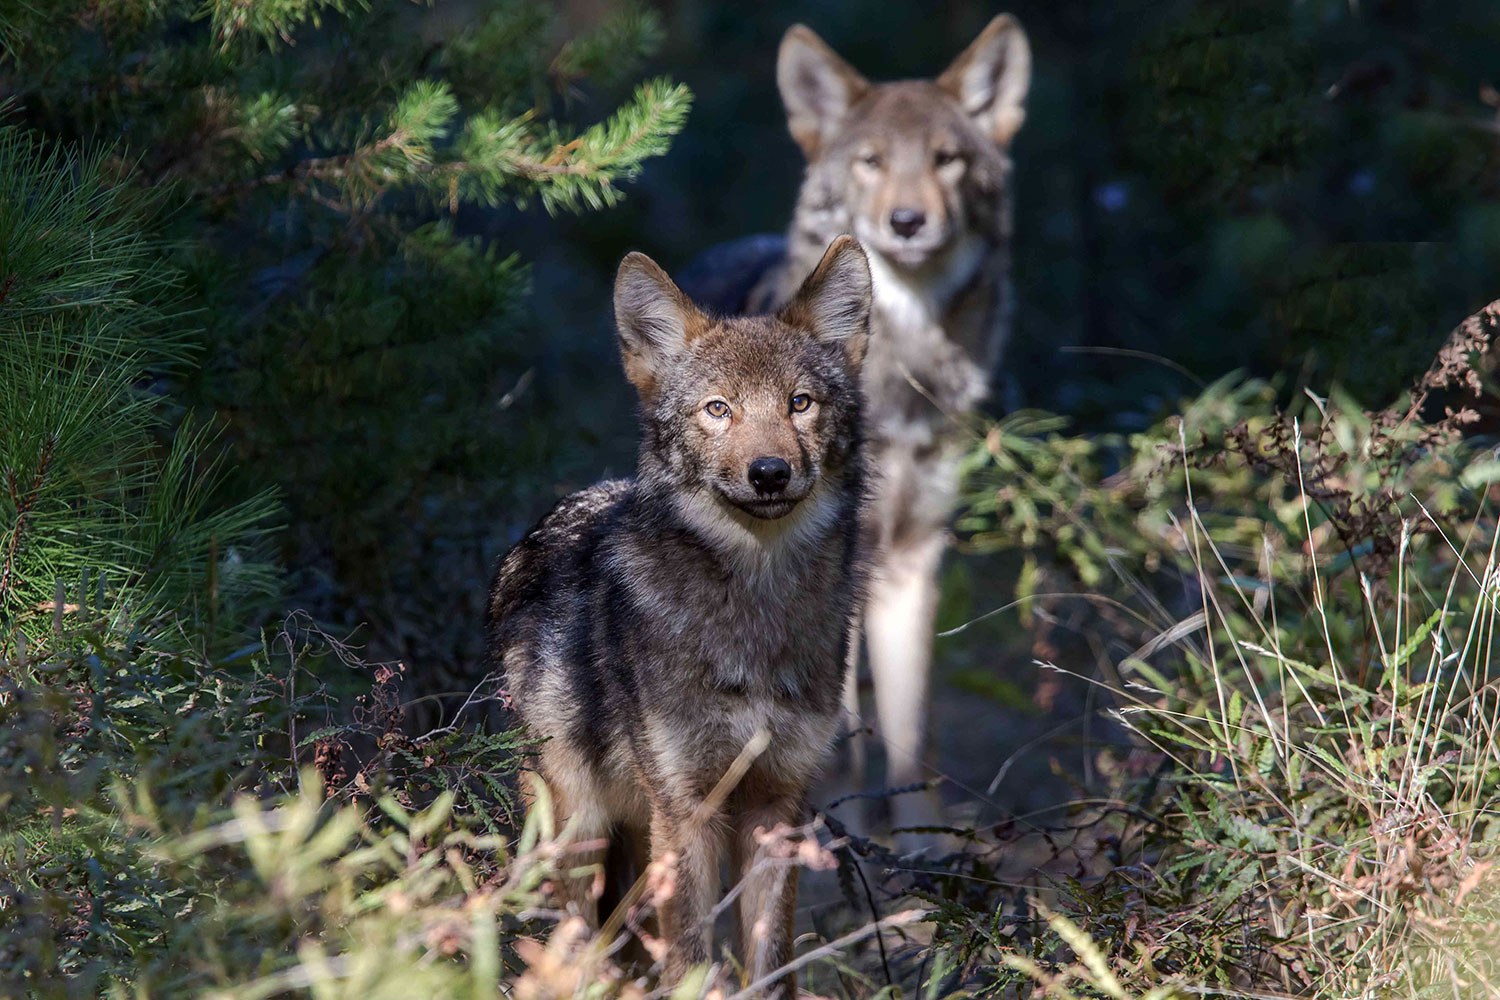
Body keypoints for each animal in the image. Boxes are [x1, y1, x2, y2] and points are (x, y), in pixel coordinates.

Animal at [487, 236, 872, 995]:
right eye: (717, 409)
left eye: (800, 403)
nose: (769, 472)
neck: (754, 614)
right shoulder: (687, 808)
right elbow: (693, 960)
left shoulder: (776, 804)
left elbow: (769, 965)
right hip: (579, 835)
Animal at [742, 16, 1032, 839]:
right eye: (871, 162)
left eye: (947, 160)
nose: (907, 222)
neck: (903, 380)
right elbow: (840, 740)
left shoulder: (912, 560)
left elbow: (912, 733)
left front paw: (919, 845)